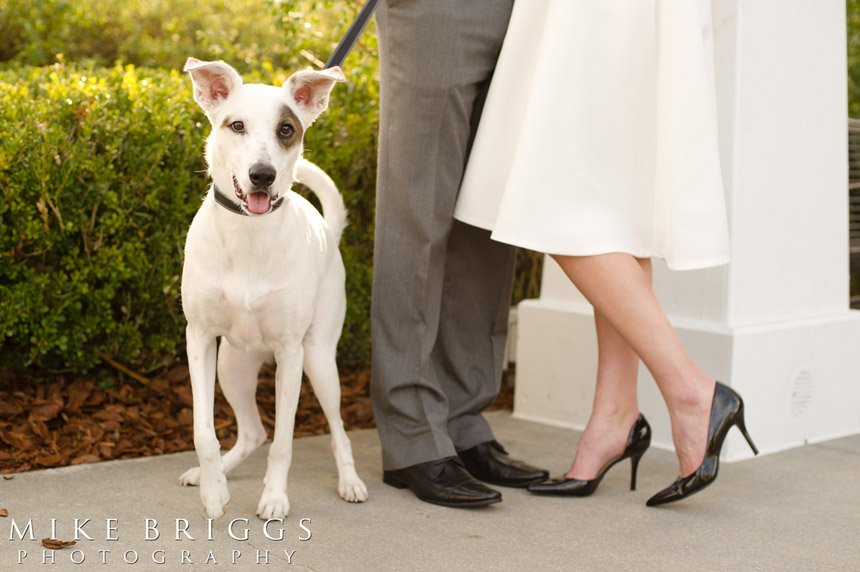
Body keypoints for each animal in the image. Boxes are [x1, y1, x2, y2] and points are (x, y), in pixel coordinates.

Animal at [180, 57, 368, 520]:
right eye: (236, 125)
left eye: (286, 129)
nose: (262, 176)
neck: (250, 231)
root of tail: (328, 230)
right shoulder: (199, 338)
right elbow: (204, 430)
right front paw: (213, 489)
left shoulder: (290, 353)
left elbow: (284, 442)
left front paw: (275, 497)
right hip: (231, 367)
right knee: (252, 432)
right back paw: (217, 470)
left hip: (319, 361)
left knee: (337, 427)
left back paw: (350, 480)